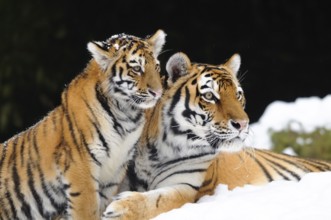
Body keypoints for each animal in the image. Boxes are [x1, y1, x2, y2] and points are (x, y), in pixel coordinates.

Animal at [0, 29, 166, 220]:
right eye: (137, 68)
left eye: (157, 67)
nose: (158, 93)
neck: (127, 115)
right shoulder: (81, 167)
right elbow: (87, 210)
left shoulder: (114, 171)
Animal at [103, 52, 249, 220]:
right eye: (209, 95)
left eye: (238, 95)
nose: (243, 124)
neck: (158, 152)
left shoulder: (185, 186)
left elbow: (158, 199)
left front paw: (119, 209)